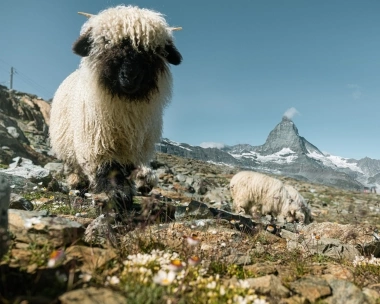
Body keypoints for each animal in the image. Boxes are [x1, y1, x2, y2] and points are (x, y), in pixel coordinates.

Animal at [48, 5, 181, 213]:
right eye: (106, 43)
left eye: (152, 51)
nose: (130, 76)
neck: (123, 106)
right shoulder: (98, 143)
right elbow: (109, 171)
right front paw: (113, 197)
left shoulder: (130, 148)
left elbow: (124, 171)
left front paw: (125, 196)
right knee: (74, 166)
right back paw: (78, 185)